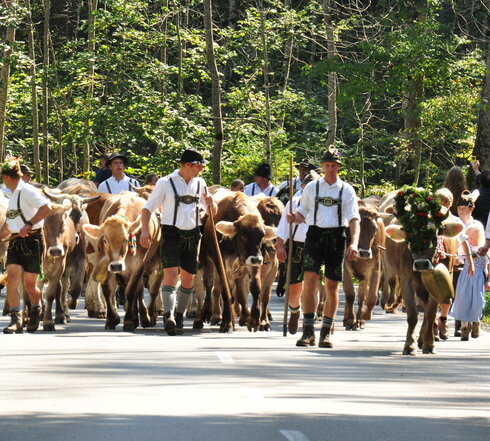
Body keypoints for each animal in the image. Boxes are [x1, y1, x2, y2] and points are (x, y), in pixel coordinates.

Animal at [194, 188, 276, 330]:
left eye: (262, 235)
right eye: (243, 234)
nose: (257, 259)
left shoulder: (251, 263)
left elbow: (255, 287)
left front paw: (254, 320)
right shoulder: (221, 263)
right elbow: (226, 291)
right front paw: (226, 323)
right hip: (207, 259)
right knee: (209, 285)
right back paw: (208, 313)